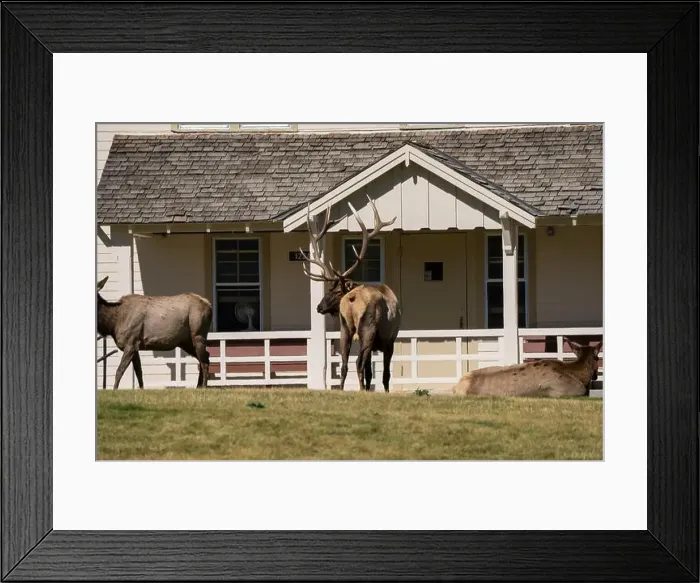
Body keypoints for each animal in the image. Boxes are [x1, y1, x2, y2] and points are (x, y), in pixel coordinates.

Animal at [299, 196, 401, 392]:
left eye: (335, 291)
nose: (319, 307)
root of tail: (353, 299)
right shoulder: (390, 341)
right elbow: (384, 374)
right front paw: (384, 391)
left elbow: (370, 372)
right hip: (367, 328)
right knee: (358, 363)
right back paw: (360, 390)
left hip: (344, 329)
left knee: (345, 364)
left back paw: (342, 389)